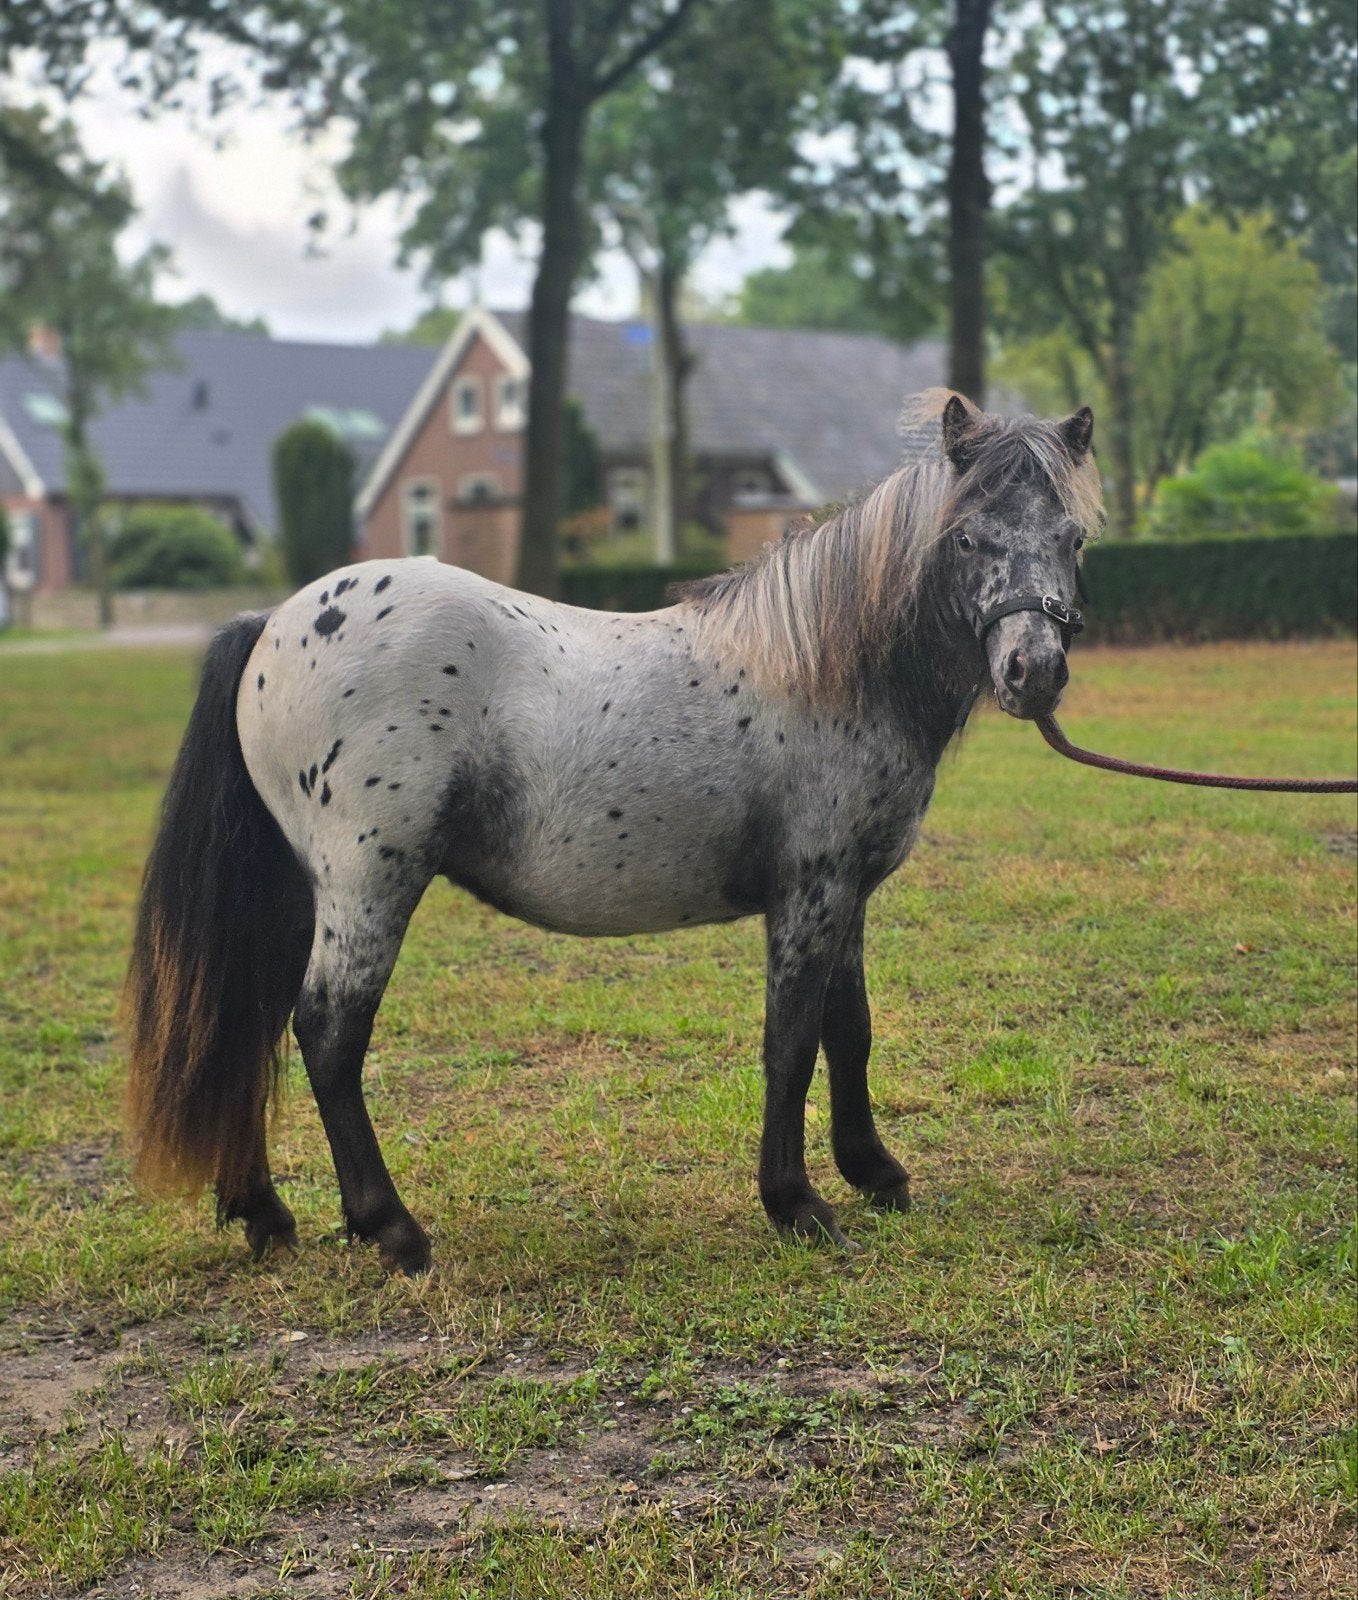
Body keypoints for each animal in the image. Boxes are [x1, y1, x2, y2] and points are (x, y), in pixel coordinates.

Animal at [123, 392, 1102, 1275]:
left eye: (1074, 539)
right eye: (966, 538)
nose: (1034, 672)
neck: (830, 669)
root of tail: (273, 625)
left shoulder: (847, 893)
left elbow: (848, 1029)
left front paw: (874, 1173)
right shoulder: (810, 892)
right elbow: (790, 1041)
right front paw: (796, 1204)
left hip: (300, 889)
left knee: (250, 1025)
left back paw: (264, 1214)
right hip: (368, 884)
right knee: (328, 1031)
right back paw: (391, 1230)